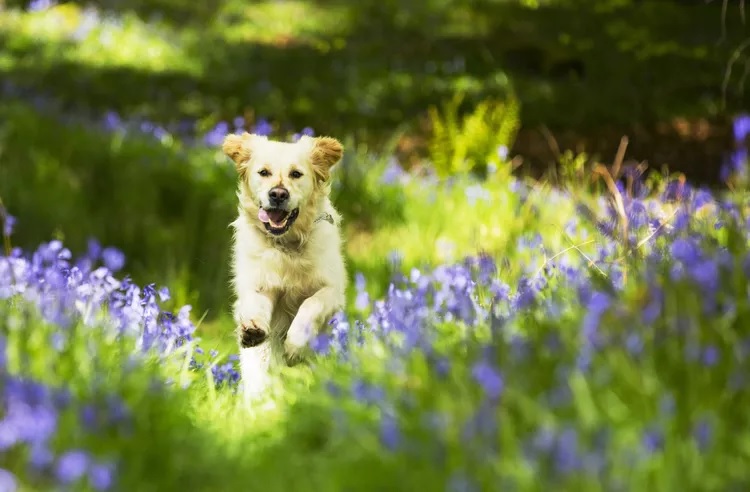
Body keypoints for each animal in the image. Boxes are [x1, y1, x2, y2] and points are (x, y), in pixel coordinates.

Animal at [223, 133, 350, 402]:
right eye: (263, 172)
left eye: (296, 174)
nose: (278, 194)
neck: (287, 246)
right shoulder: (260, 285)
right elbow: (257, 309)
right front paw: (253, 329)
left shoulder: (333, 291)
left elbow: (310, 304)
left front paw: (294, 346)